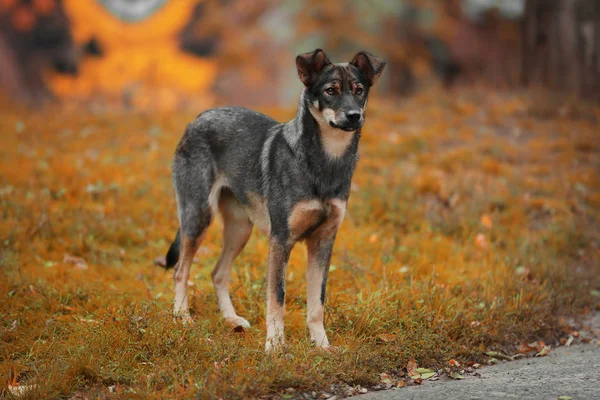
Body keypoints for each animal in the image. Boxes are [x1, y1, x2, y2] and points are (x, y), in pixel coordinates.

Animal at [164, 48, 386, 352]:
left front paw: (322, 345)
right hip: (198, 217)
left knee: (218, 273)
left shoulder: (323, 242)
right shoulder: (281, 240)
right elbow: (277, 300)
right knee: (180, 270)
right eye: (330, 91)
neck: (325, 163)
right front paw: (276, 346)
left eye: (359, 91)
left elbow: (317, 304)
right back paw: (182, 317)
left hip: (240, 230)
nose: (354, 116)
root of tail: (199, 117)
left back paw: (231, 320)